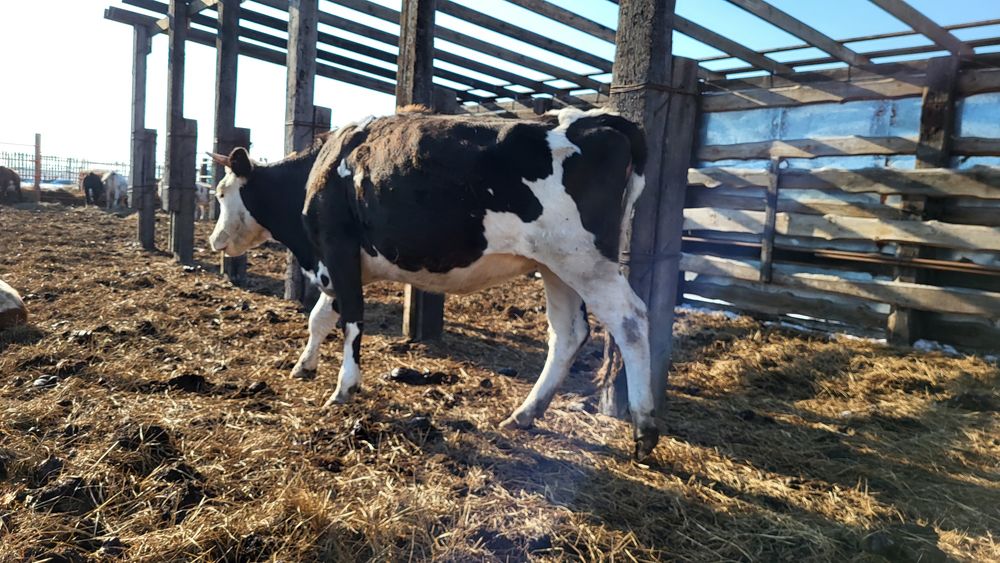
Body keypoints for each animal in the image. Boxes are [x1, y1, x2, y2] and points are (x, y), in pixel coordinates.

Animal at [208, 107, 659, 458]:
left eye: (220, 192)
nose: (215, 240)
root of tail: (598, 118)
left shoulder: (337, 248)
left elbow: (352, 320)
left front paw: (344, 386)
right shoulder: (342, 264)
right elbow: (320, 318)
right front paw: (304, 365)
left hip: (584, 259)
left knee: (631, 321)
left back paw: (644, 429)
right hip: (555, 265)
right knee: (568, 333)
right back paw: (525, 414)